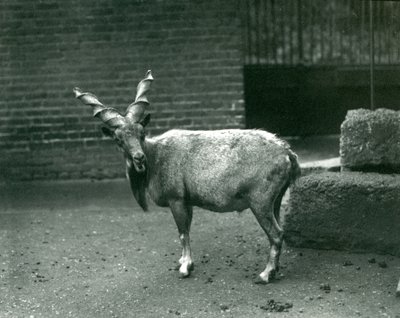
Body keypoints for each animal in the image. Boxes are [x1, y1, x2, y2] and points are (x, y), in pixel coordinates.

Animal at [74, 70, 300, 284]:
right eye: (118, 139)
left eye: (141, 132)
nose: (139, 157)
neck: (156, 157)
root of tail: (287, 152)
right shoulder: (187, 200)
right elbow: (187, 230)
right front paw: (183, 261)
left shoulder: (176, 199)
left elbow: (183, 233)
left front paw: (185, 268)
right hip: (275, 200)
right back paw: (274, 269)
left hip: (259, 200)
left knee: (276, 234)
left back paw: (265, 274)